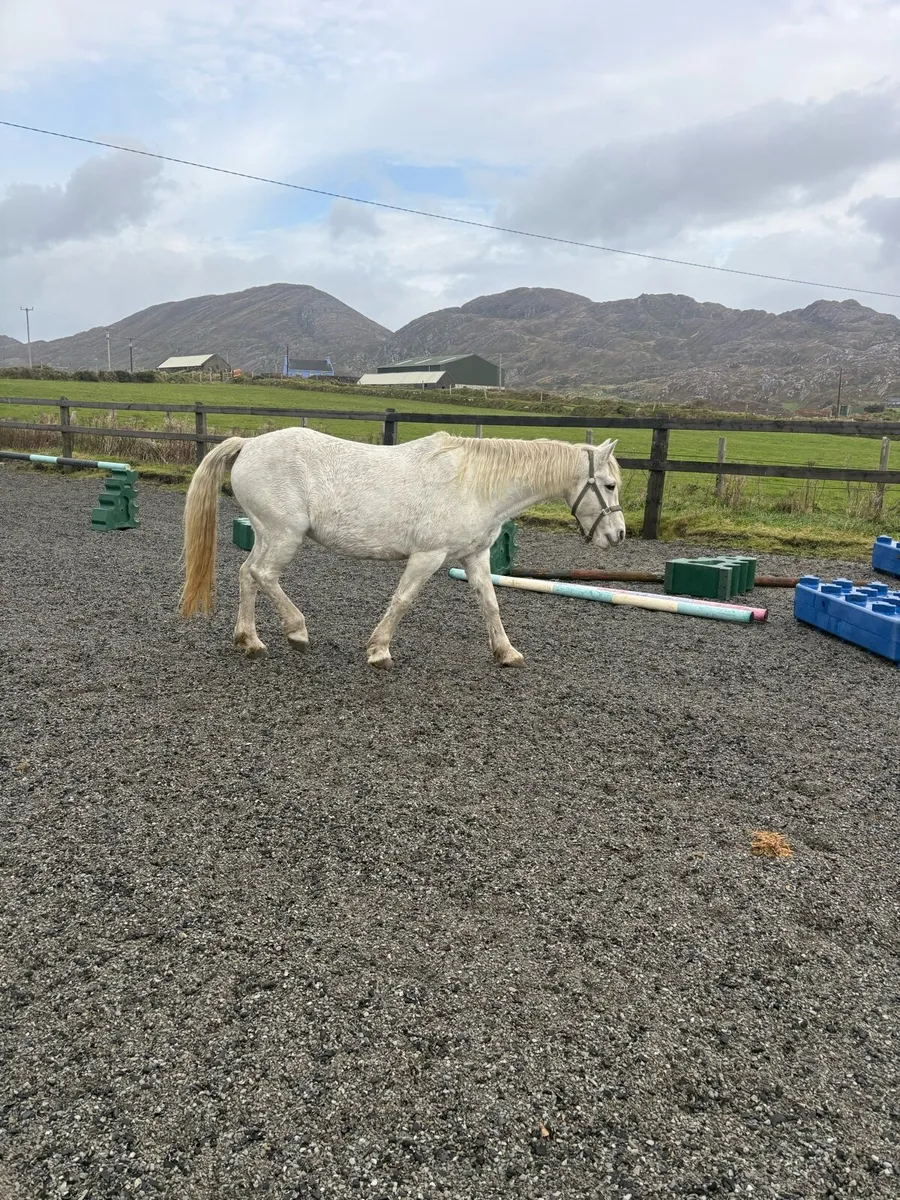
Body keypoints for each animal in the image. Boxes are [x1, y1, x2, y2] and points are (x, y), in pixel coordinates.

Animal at [179, 427, 625, 668]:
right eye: (609, 485)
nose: (618, 535)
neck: (474, 483)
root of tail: (249, 444)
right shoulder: (428, 556)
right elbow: (403, 600)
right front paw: (379, 651)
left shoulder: (475, 556)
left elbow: (490, 603)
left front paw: (506, 652)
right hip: (285, 534)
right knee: (263, 575)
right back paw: (296, 631)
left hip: (267, 534)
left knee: (247, 576)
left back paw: (249, 640)